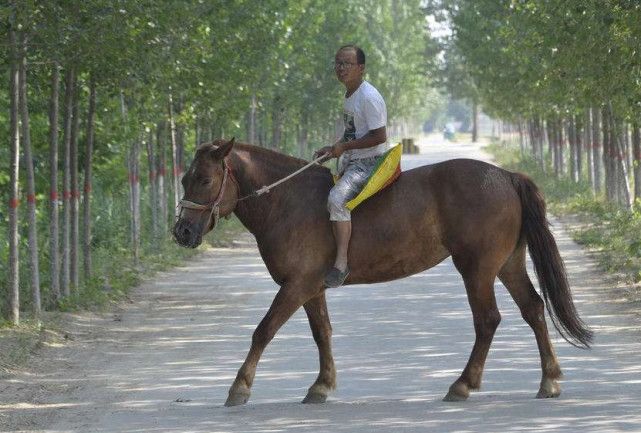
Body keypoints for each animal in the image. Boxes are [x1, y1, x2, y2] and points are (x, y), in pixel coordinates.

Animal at [174, 138, 592, 404]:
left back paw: (463, 384)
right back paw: (549, 380)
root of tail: (506, 176)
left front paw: (239, 387)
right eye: (183, 178)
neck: (286, 201)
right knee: (533, 309)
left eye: (205, 179)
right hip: (507, 263)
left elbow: (263, 331)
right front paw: (322, 386)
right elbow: (322, 333)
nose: (182, 232)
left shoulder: (296, 286)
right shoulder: (311, 288)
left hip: (477, 268)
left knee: (488, 319)